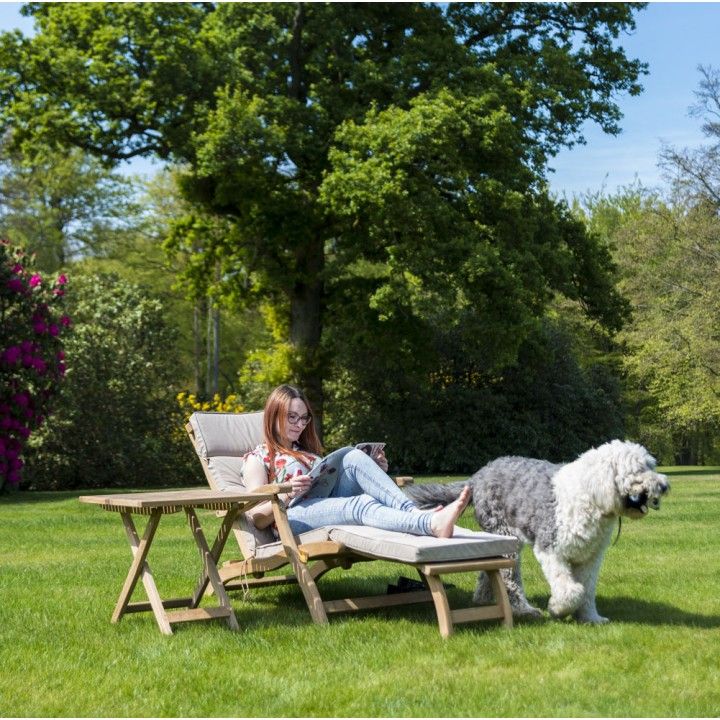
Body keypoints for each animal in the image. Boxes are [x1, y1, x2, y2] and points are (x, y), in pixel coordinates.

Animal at [404, 442, 668, 620]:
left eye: (651, 465)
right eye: (638, 469)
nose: (665, 486)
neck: (589, 495)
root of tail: (478, 476)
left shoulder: (590, 557)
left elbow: (587, 590)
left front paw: (591, 618)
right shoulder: (551, 549)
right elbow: (572, 590)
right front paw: (558, 609)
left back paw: (482, 598)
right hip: (506, 537)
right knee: (510, 580)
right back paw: (524, 609)